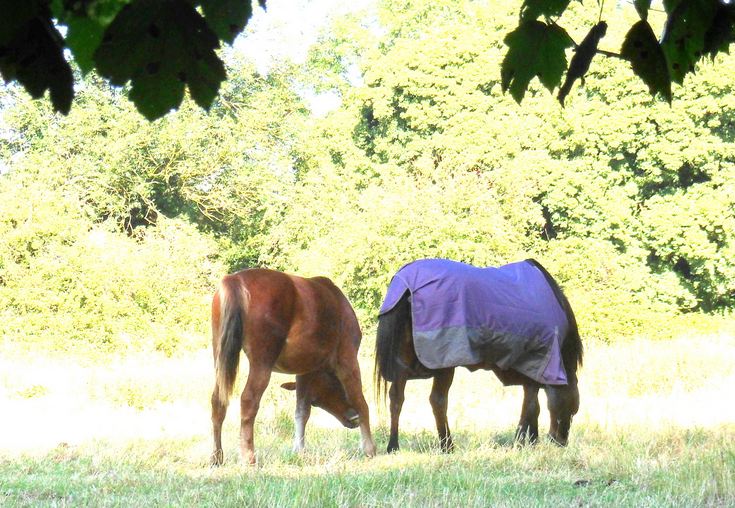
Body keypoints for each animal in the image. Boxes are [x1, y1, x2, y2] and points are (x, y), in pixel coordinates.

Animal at [210, 268, 376, 465]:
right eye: (318, 401)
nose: (352, 418)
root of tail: (234, 279)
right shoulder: (347, 359)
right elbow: (361, 402)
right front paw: (369, 448)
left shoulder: (305, 370)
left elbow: (301, 411)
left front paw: (299, 450)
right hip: (262, 362)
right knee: (248, 400)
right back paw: (248, 456)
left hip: (220, 357)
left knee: (218, 400)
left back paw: (216, 456)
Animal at [374, 258, 582, 453]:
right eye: (573, 408)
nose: (561, 441)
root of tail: (406, 286)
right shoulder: (535, 365)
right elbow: (531, 406)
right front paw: (522, 440)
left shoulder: (529, 371)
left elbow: (533, 406)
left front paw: (530, 439)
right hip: (444, 363)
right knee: (437, 400)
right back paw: (447, 445)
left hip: (402, 362)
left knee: (396, 398)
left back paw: (393, 446)